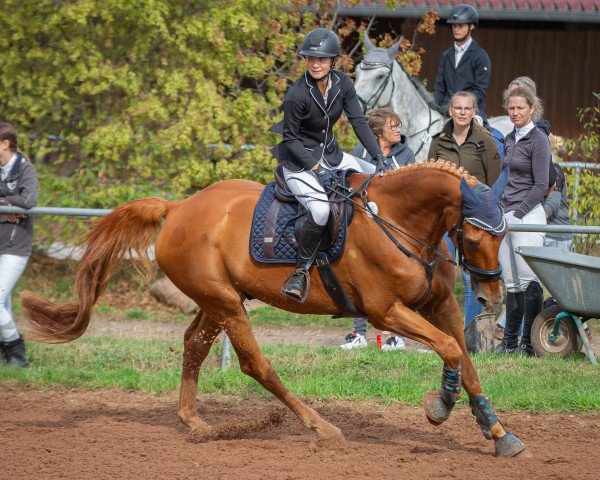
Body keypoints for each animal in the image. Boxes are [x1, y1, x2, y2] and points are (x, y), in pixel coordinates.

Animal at [19, 161, 524, 458]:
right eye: (475, 235)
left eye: (504, 234)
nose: (492, 298)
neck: (397, 221)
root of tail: (178, 207)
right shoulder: (386, 312)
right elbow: (450, 351)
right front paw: (439, 406)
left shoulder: (441, 306)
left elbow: (465, 358)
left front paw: (499, 434)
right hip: (225, 302)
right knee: (254, 364)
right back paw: (320, 427)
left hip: (221, 299)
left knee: (194, 345)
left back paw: (194, 422)